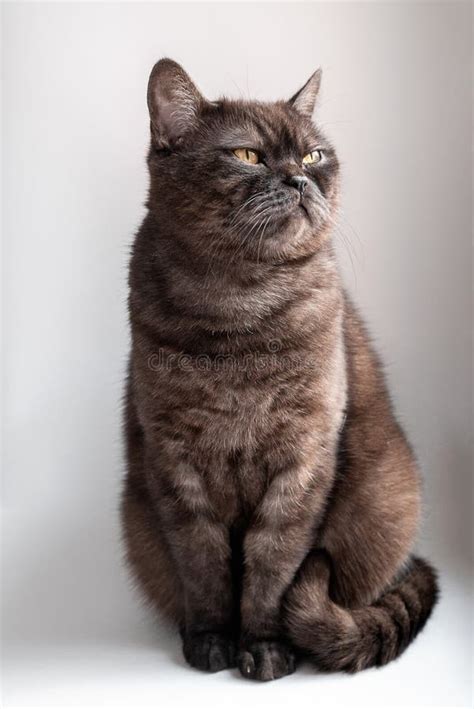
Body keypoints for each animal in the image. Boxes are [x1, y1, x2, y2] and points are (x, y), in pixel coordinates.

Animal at [120, 59, 438, 680]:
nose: (299, 180)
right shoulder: (175, 460)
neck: (239, 310)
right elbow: (204, 564)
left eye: (314, 155)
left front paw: (264, 649)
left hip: (386, 498)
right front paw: (211, 642)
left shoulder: (302, 457)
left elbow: (274, 564)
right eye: (248, 155)